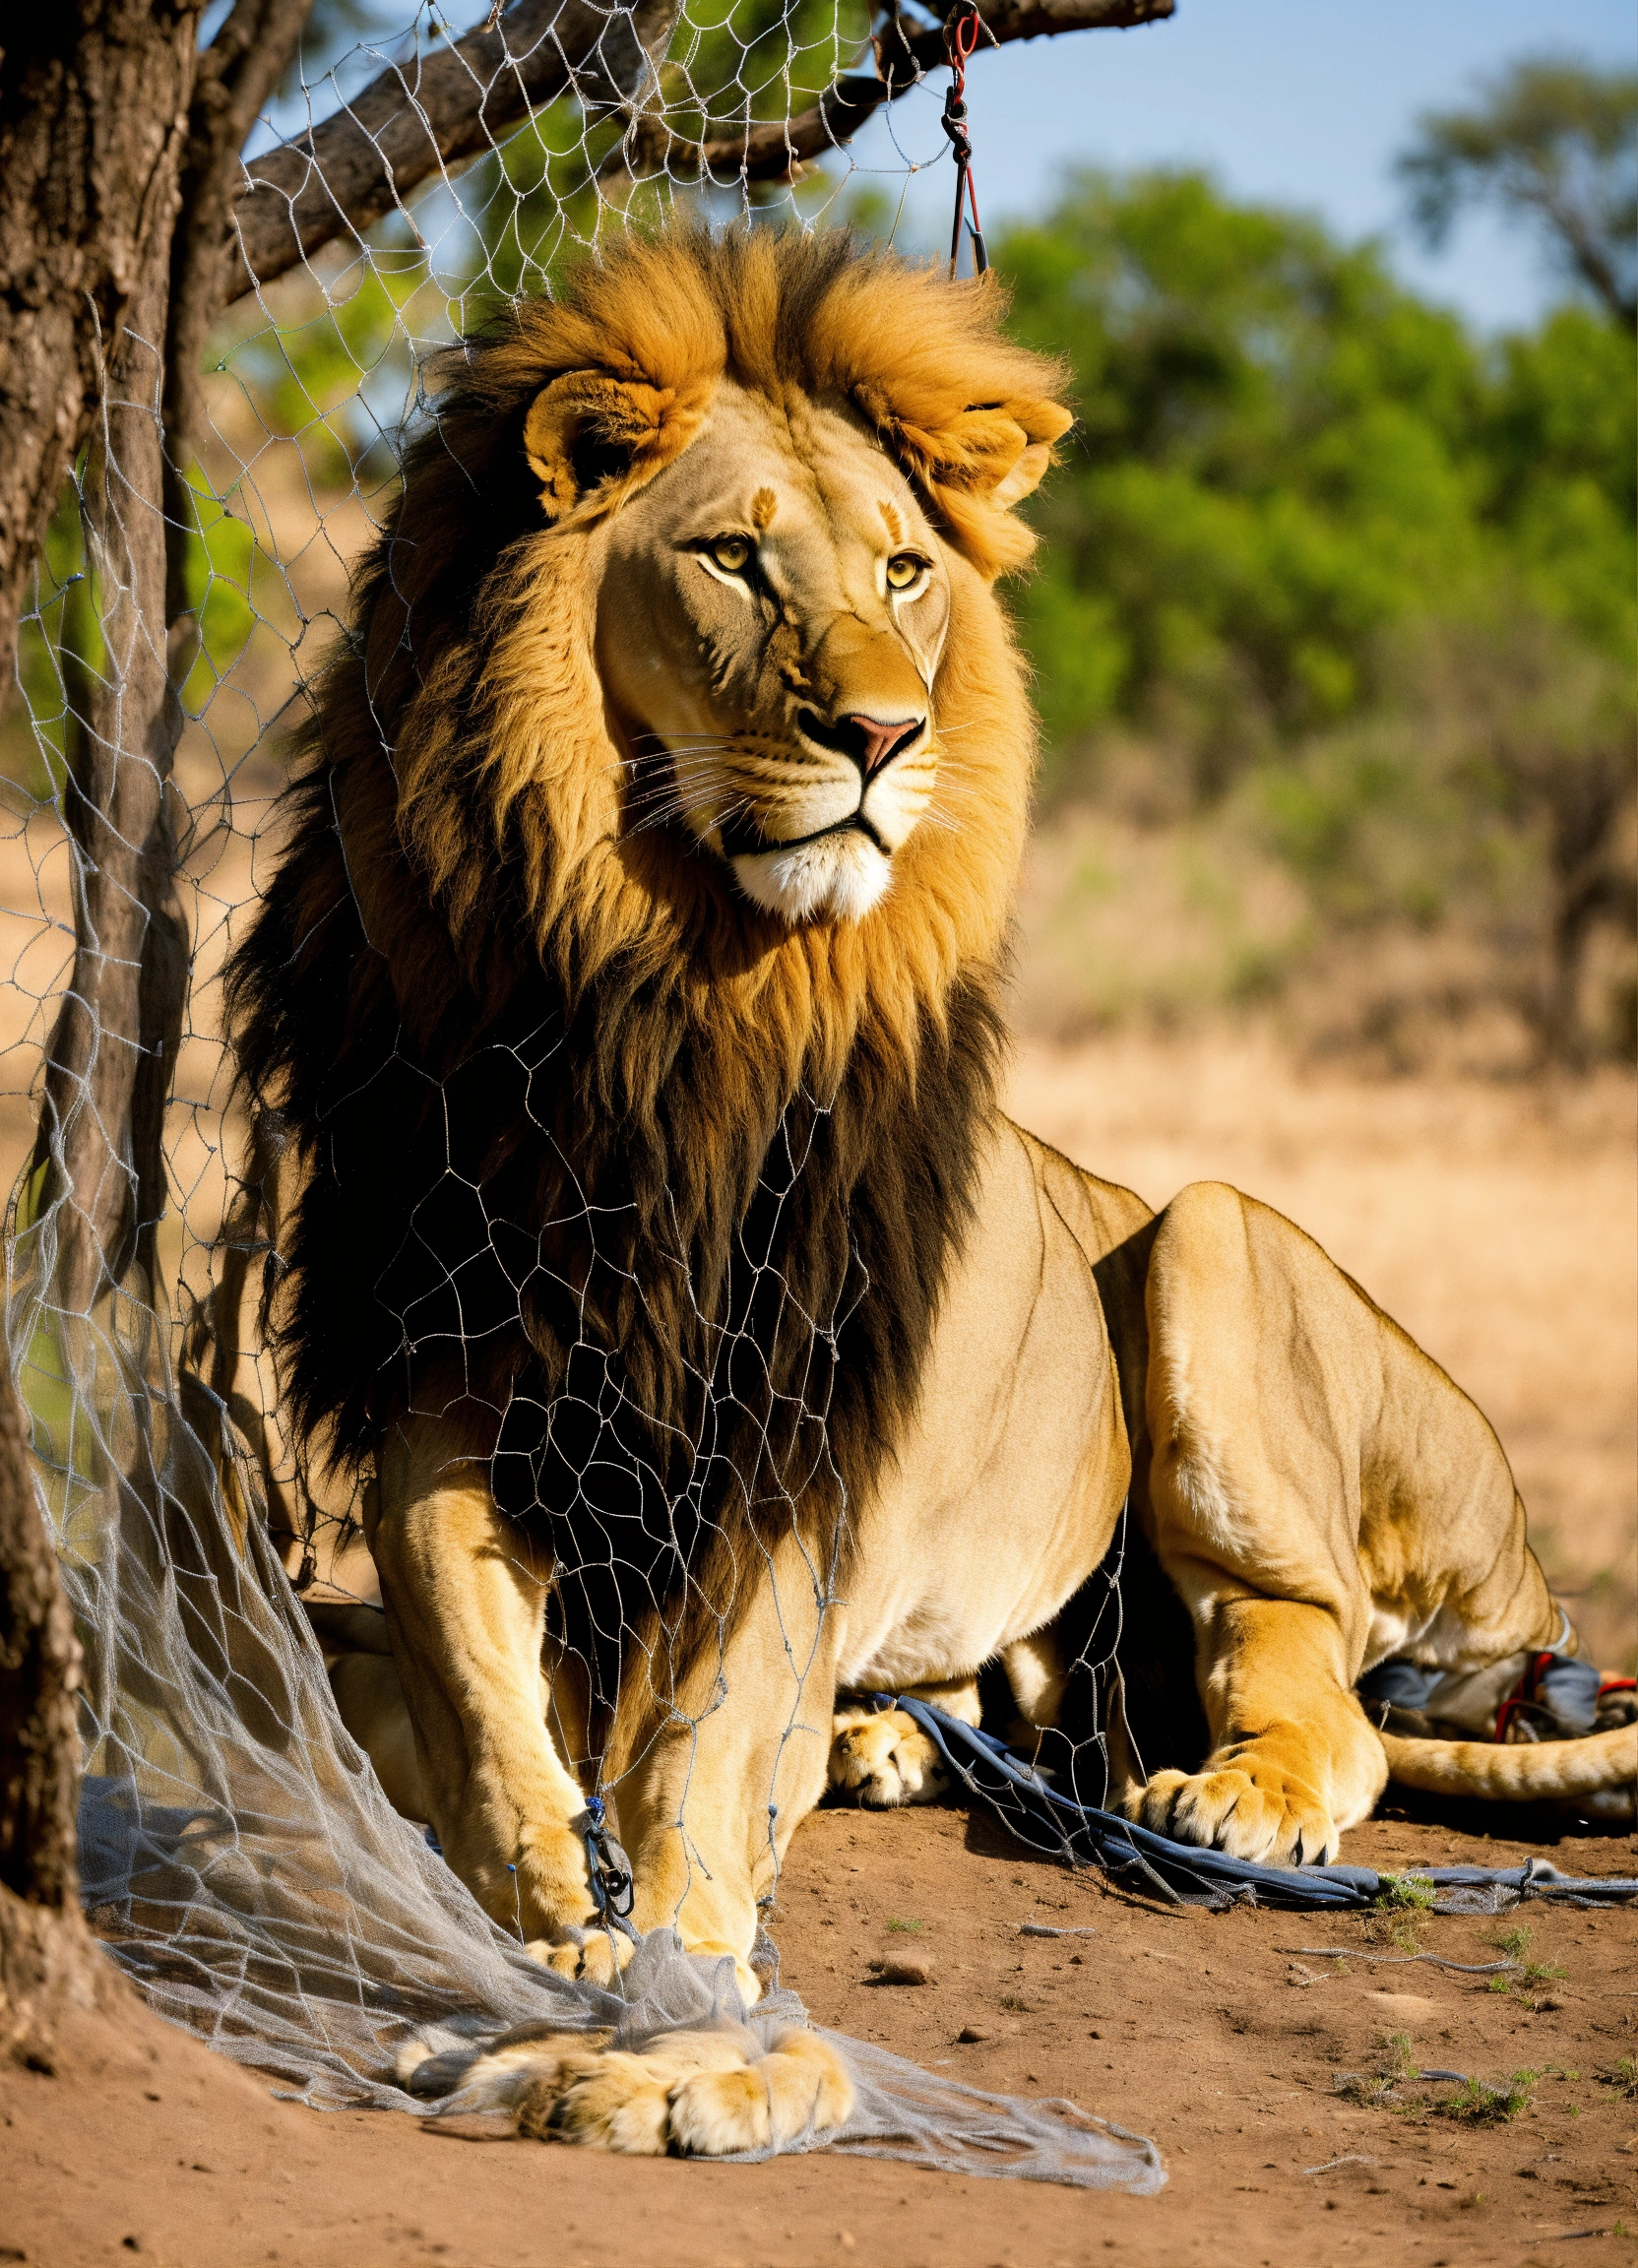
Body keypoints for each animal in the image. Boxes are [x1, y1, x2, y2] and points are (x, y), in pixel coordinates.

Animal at [225, 229, 1636, 2159]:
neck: (674, 999)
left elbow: (702, 1728)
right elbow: (470, 1667)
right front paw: (543, 1907)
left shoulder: (793, 1417)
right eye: (733, 558)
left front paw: (676, 1961)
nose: (885, 734)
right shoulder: (442, 1355)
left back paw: (1233, 1792)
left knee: (1318, 1664)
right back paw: (887, 1738)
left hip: (1209, 1243)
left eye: (903, 570)